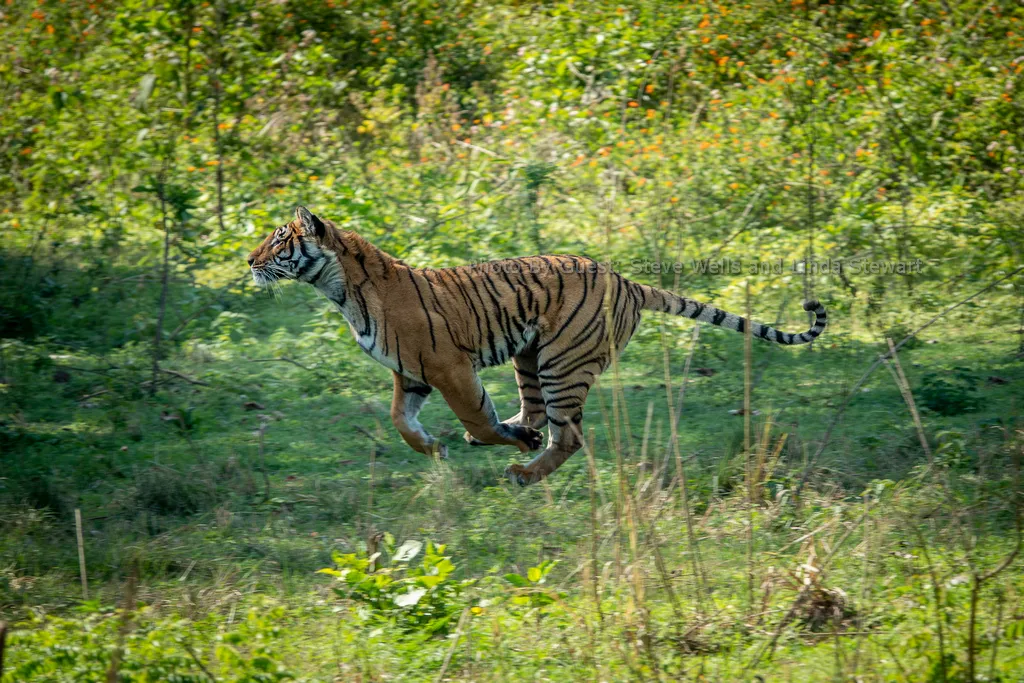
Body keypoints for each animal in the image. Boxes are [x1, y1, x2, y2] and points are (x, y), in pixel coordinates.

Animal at [245, 206, 823, 485]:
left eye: (279, 240)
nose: (249, 261)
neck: (339, 289)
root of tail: (628, 281)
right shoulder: (408, 373)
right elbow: (400, 421)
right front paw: (435, 448)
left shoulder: (447, 365)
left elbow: (474, 413)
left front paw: (496, 443)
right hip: (530, 355)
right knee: (538, 411)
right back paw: (515, 437)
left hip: (562, 362)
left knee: (567, 436)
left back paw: (524, 471)